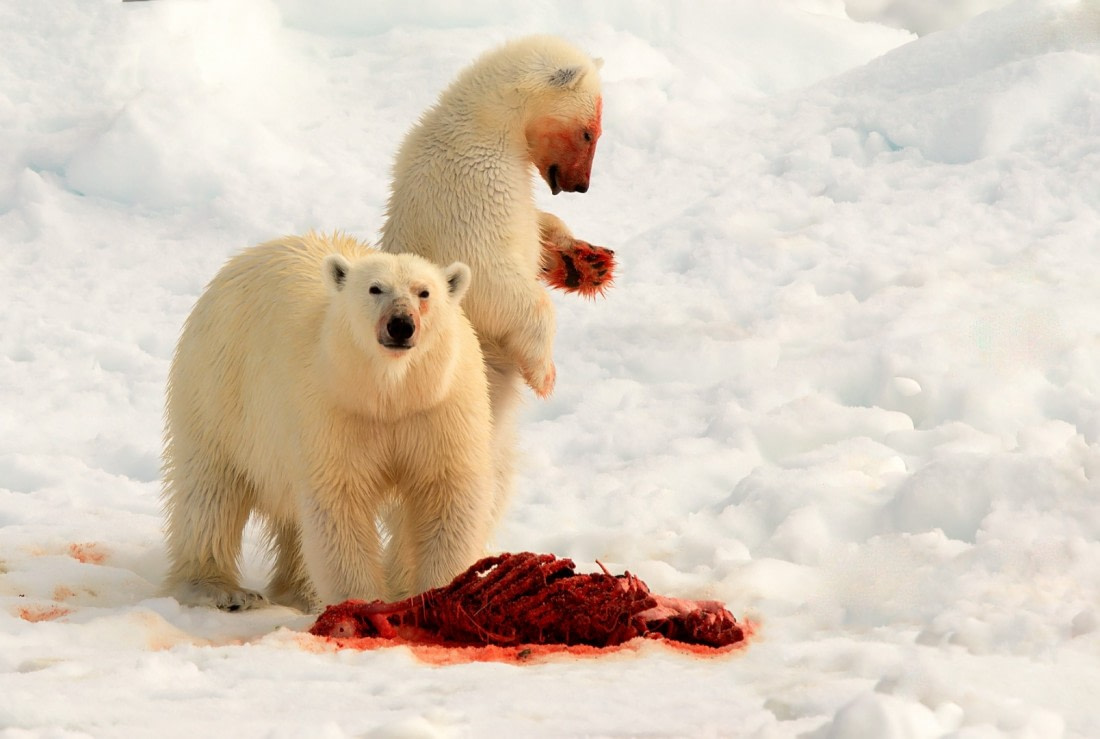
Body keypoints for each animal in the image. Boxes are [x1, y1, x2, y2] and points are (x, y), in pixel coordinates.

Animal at [161, 232, 493, 612]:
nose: (400, 324)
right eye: (375, 288)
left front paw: (438, 594)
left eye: (424, 292)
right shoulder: (335, 411)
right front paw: (362, 603)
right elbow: (339, 502)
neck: (390, 391)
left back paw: (300, 591)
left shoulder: (437, 408)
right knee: (210, 490)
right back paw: (220, 590)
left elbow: (445, 492)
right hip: (218, 387)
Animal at [380, 34, 605, 527]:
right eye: (589, 132)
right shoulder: (470, 184)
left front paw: (582, 261)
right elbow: (491, 279)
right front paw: (544, 375)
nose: (581, 186)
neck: (482, 125)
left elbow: (537, 229)